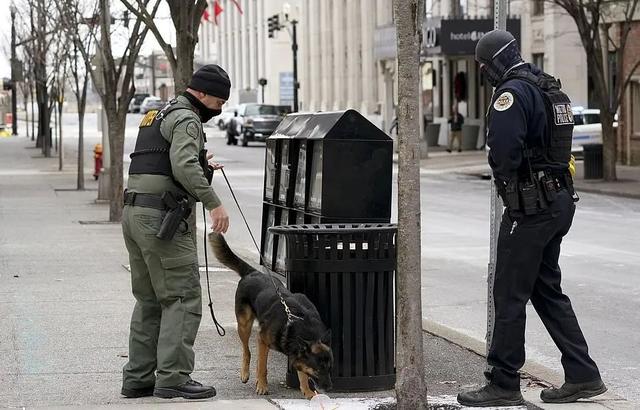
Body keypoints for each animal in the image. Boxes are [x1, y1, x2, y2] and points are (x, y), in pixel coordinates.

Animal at [209, 234, 332, 398]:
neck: (297, 323)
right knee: (247, 351)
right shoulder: (262, 340)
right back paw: (245, 373)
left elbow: (302, 374)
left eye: (330, 368)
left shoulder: (297, 354)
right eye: (318, 370)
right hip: (244, 325)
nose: (330, 388)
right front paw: (262, 386)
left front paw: (307, 391)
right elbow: (262, 366)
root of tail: (253, 272)